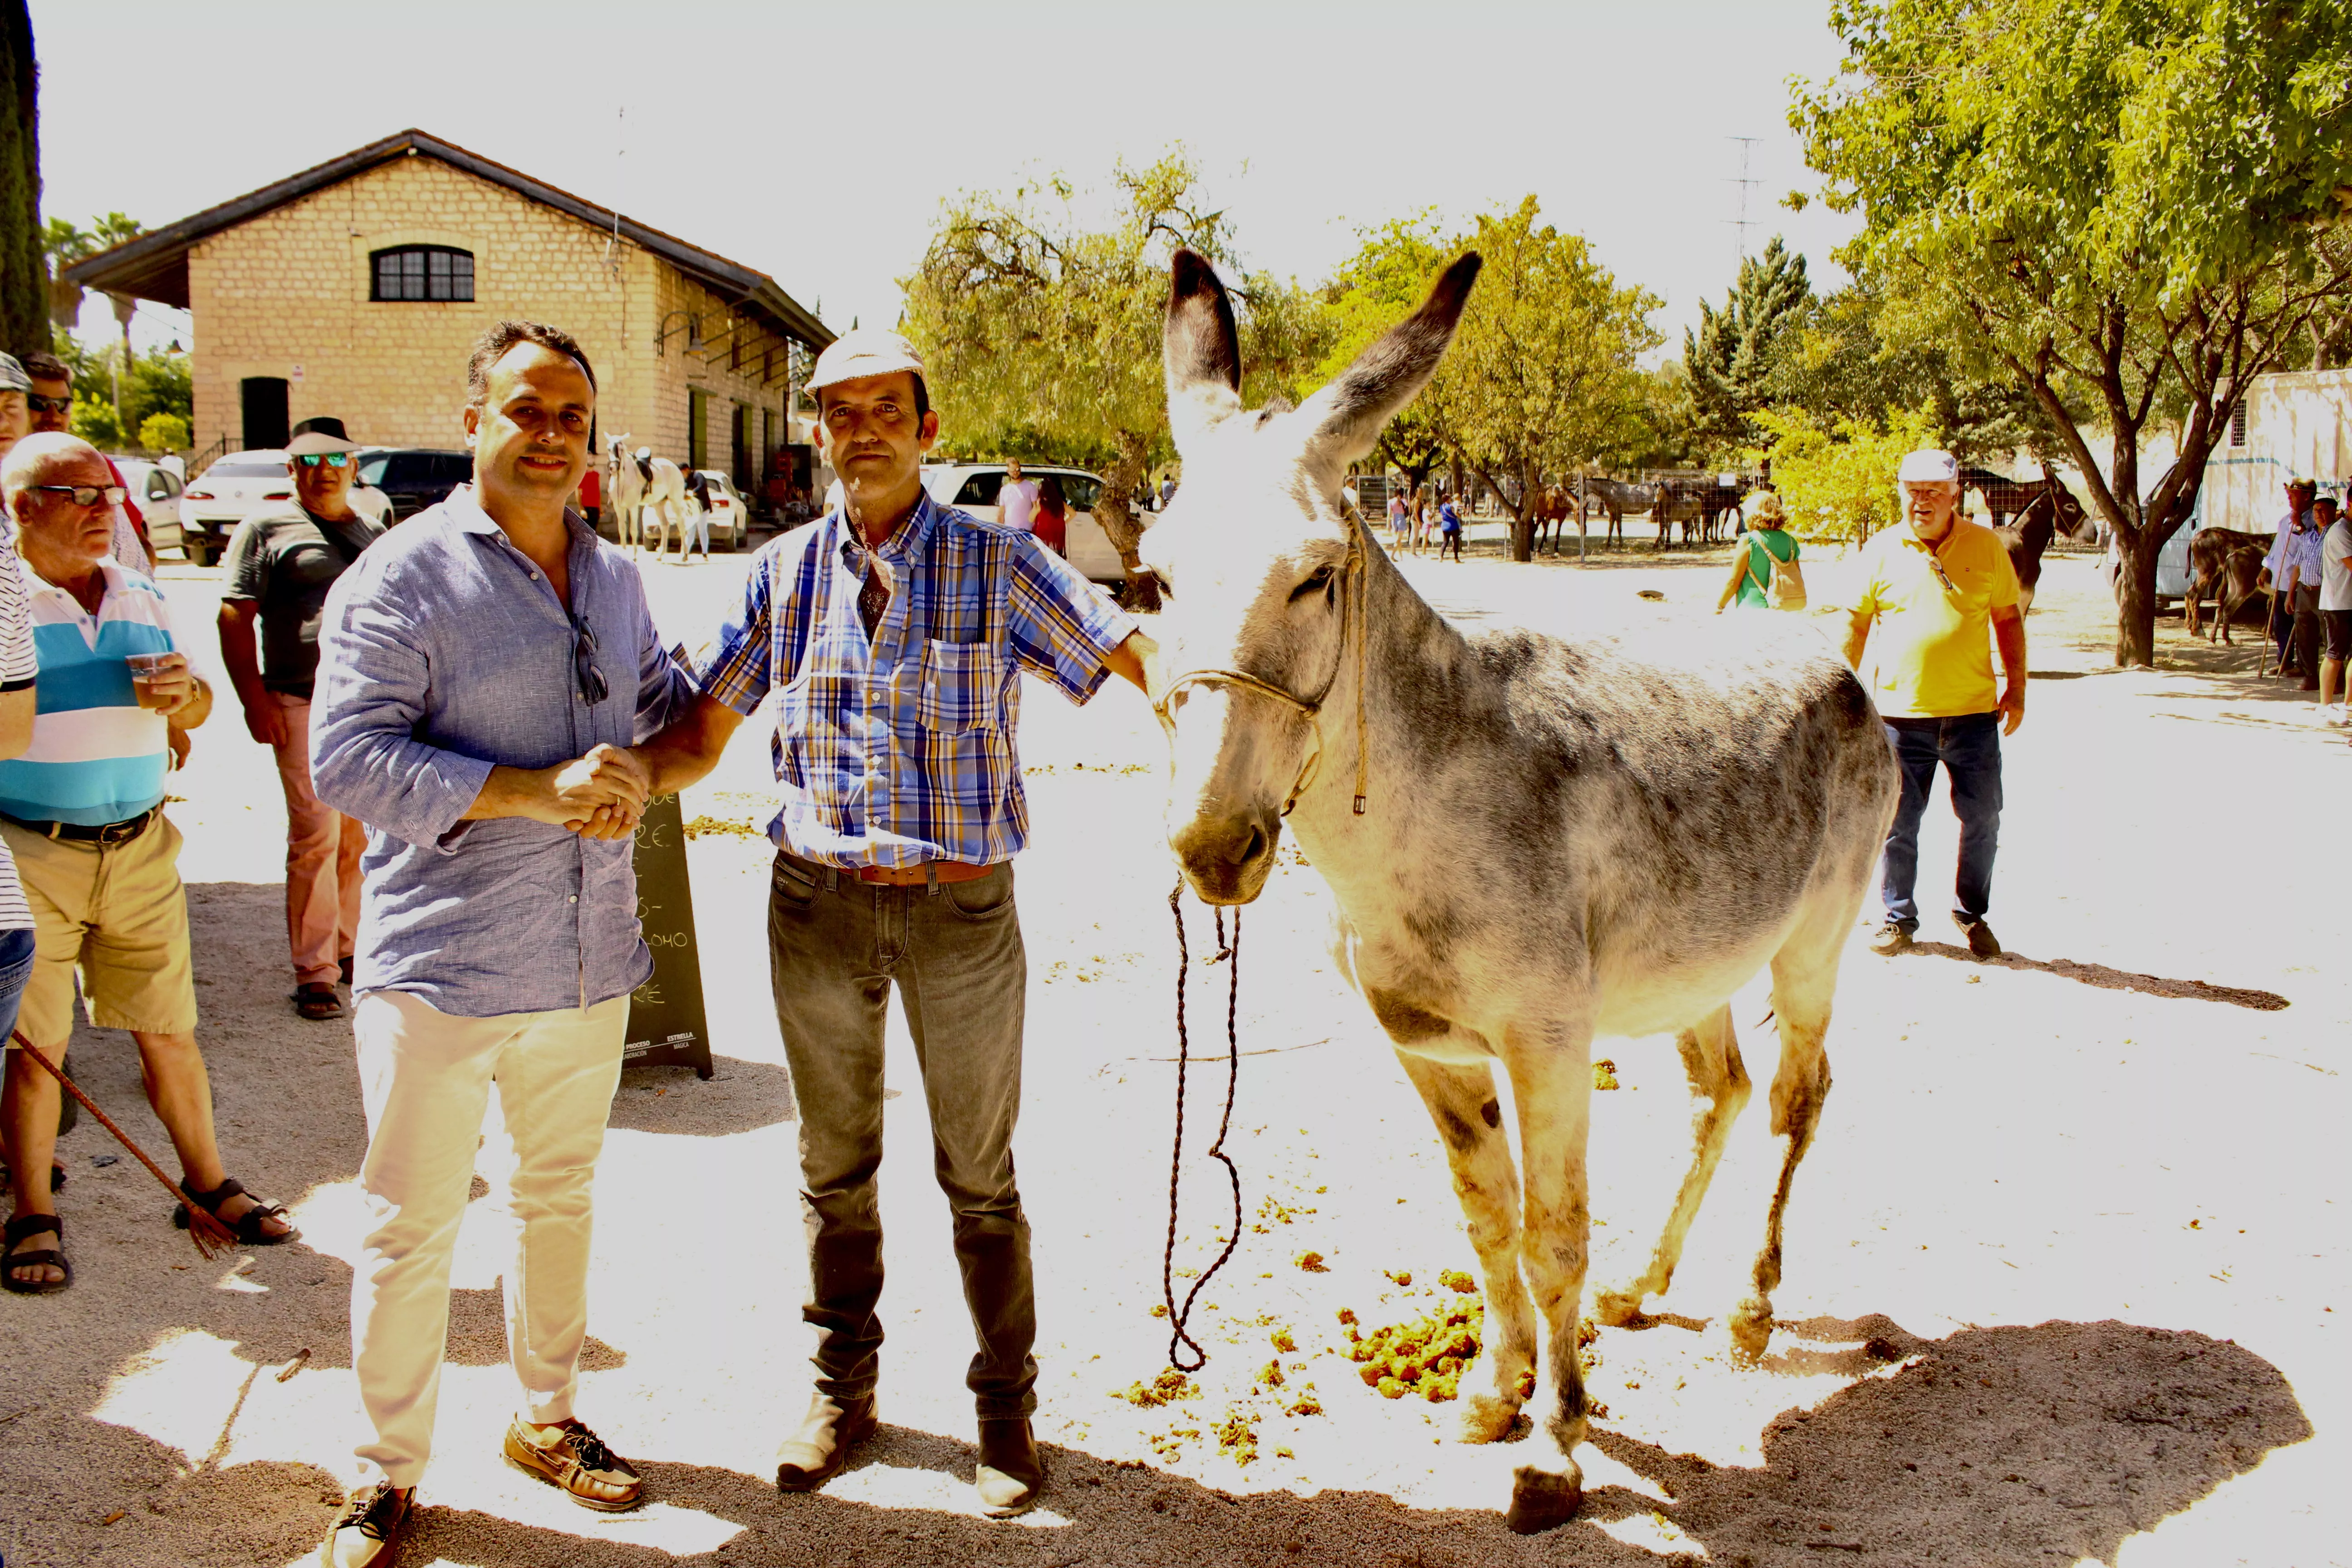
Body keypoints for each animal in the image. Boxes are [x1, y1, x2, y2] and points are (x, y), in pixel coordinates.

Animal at [1147, 255, 1900, 1533]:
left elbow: (1551, 1237)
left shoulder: (1547, 1044)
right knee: (1721, 1091)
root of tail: (1829, 650)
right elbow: (1486, 1214)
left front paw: (1555, 1442)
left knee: (1798, 1097)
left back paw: (1748, 1309)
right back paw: (1645, 1284)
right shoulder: (1427, 1048)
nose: (1212, 846)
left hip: (1813, 945)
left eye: (1317, 577)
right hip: (1692, 967)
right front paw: (1497, 1390)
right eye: (1149, 574)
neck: (1419, 820)